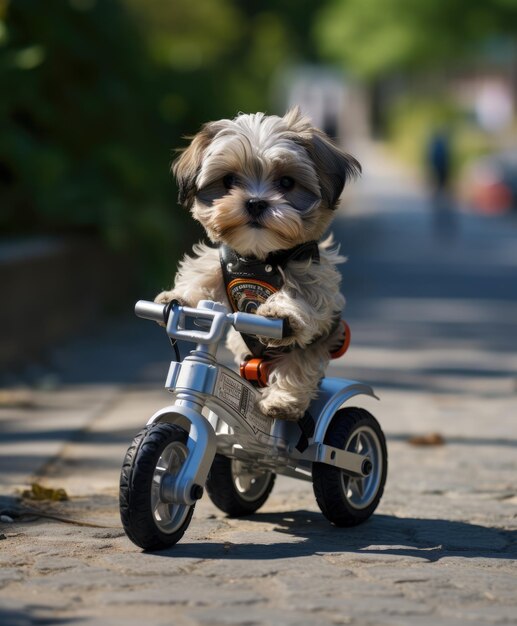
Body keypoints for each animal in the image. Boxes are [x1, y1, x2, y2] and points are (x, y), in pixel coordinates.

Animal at [155, 107, 360, 420]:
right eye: (228, 181)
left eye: (287, 183)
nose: (255, 202)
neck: (257, 258)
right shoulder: (222, 262)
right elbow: (201, 278)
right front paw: (178, 297)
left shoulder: (313, 272)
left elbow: (304, 298)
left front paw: (280, 312)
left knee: (298, 366)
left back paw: (282, 401)